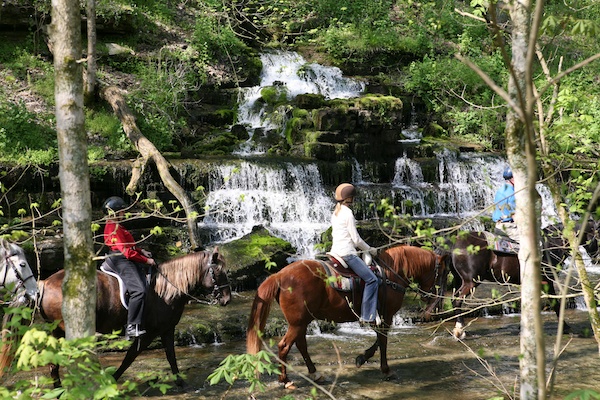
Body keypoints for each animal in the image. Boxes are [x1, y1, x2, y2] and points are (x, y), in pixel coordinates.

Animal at [18, 248, 230, 386]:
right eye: (218, 271)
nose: (227, 299)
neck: (168, 288)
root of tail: (45, 283)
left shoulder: (167, 329)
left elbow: (171, 356)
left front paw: (179, 382)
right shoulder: (148, 334)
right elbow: (129, 358)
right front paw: (112, 380)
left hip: (56, 330)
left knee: (54, 363)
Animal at [246, 244, 448, 388]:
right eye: (443, 272)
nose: (435, 297)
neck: (391, 272)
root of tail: (279, 275)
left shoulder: (380, 316)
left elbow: (378, 340)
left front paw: (362, 358)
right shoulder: (387, 315)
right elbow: (383, 341)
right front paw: (386, 370)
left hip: (302, 321)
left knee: (301, 344)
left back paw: (314, 374)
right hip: (297, 322)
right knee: (284, 346)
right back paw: (286, 380)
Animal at [442, 220, 596, 340]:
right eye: (597, 234)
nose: (595, 258)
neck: (551, 243)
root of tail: (455, 244)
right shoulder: (546, 281)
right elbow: (555, 303)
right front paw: (565, 328)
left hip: (459, 280)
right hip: (471, 281)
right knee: (457, 299)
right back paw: (460, 330)